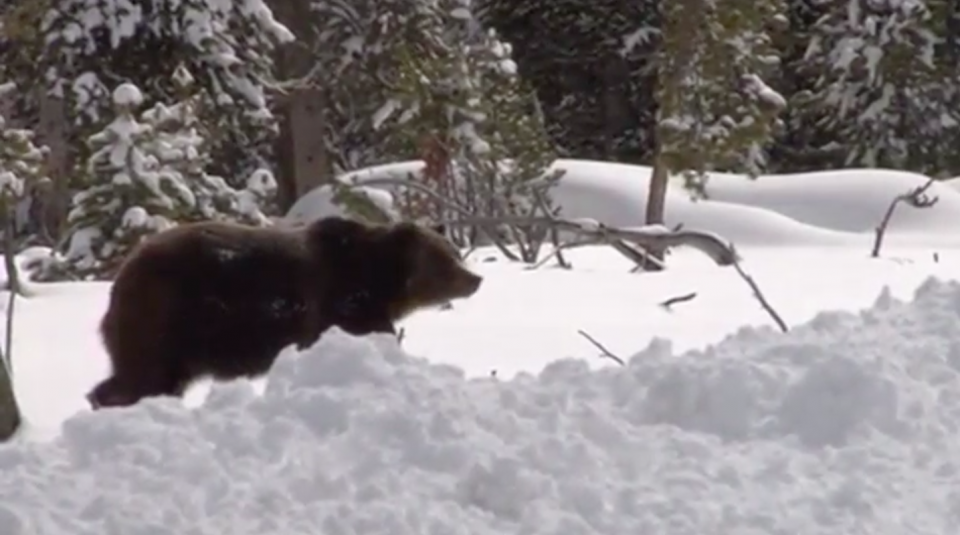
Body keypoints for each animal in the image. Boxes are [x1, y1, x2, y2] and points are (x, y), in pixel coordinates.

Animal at [86, 216, 483, 410]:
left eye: (454, 251)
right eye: (444, 258)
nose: (475, 279)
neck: (382, 281)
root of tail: (123, 275)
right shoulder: (343, 303)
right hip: (170, 319)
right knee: (145, 375)